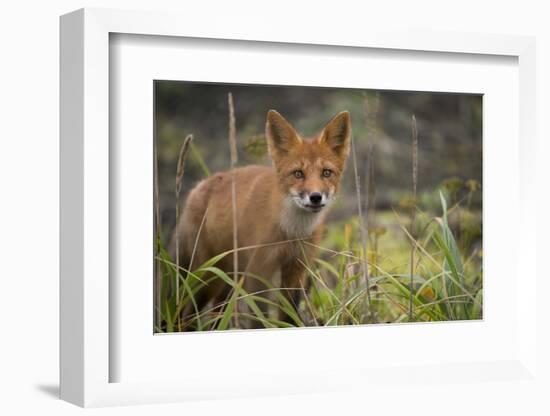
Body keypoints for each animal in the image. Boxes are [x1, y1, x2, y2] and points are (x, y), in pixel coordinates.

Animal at [172, 110, 352, 328]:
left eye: (326, 173)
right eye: (298, 174)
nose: (316, 197)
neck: (290, 231)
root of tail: (197, 188)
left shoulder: (296, 270)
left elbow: (289, 317)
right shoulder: (259, 271)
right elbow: (259, 318)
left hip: (227, 280)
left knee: (215, 313)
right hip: (208, 276)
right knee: (187, 315)